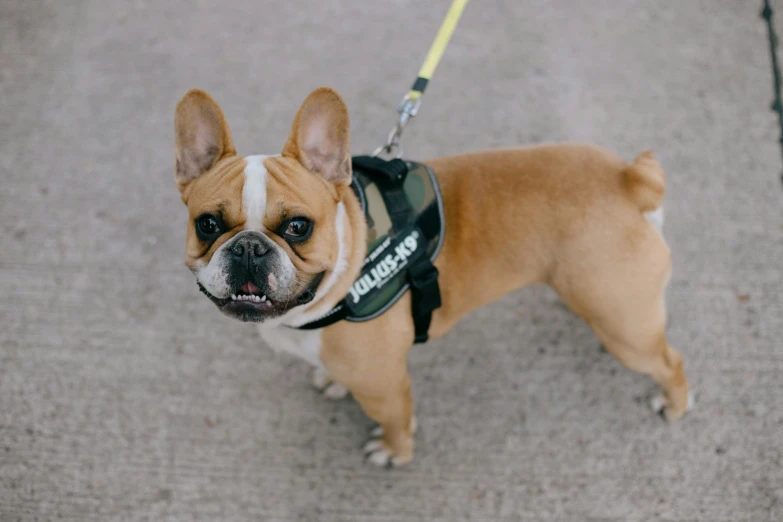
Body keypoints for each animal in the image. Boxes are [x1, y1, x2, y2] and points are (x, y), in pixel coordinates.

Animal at [173, 87, 692, 466]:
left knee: (670, 361)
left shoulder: (385, 385)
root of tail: (629, 179)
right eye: (208, 224)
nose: (249, 246)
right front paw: (332, 381)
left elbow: (397, 422)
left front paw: (395, 453)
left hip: (626, 326)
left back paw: (675, 405)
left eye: (298, 227)